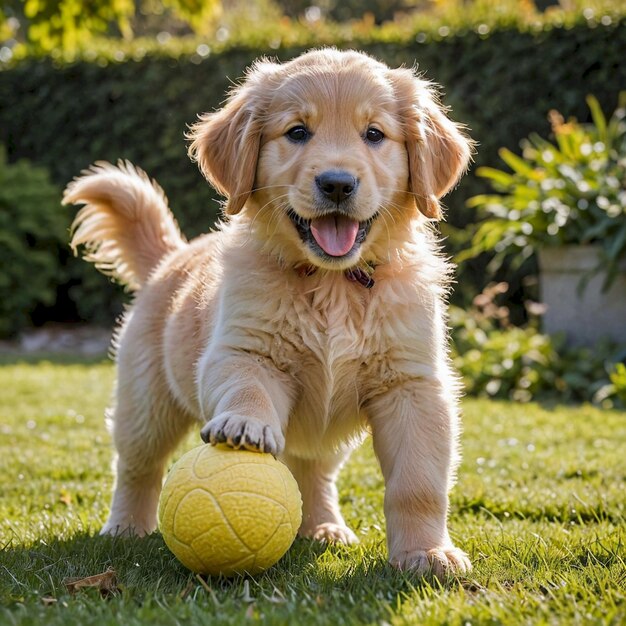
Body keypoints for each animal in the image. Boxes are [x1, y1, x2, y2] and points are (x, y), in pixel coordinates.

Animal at [64, 47, 472, 576]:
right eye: (297, 132)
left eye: (374, 134)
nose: (337, 184)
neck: (333, 283)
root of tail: (170, 258)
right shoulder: (242, 349)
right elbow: (248, 387)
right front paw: (244, 425)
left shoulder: (413, 385)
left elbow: (418, 483)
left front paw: (426, 553)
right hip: (145, 399)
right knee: (137, 464)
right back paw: (125, 528)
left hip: (324, 435)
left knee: (312, 468)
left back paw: (323, 527)